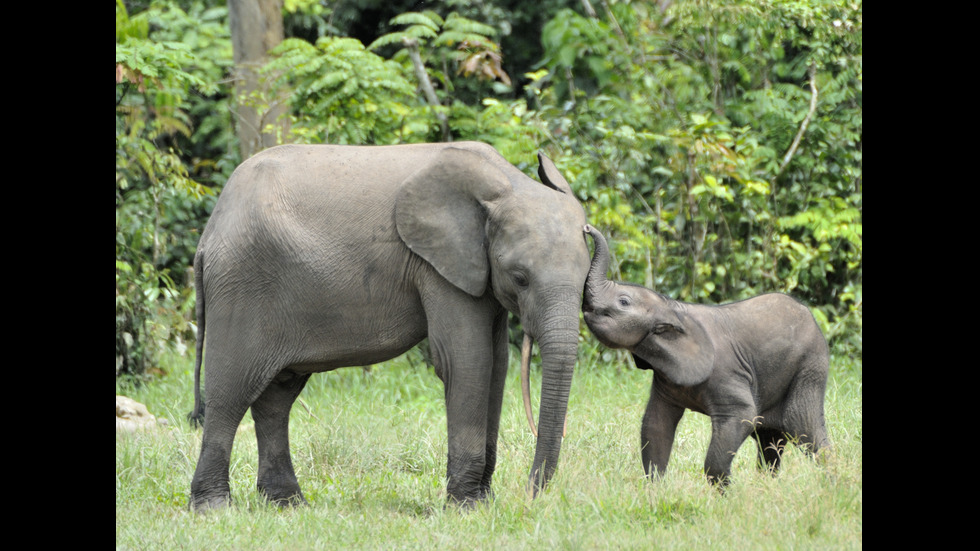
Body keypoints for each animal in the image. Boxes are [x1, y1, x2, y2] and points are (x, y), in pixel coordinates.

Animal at [189, 142, 592, 512]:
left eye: (587, 275)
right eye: (520, 278)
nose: (530, 495)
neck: (507, 184)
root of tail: (208, 236)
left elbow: (496, 365)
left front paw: (481, 502)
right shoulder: (437, 265)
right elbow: (466, 361)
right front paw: (465, 508)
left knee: (276, 398)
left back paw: (287, 504)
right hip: (242, 285)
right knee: (230, 393)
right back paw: (214, 508)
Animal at [584, 225, 832, 488]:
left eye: (623, 301)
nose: (587, 228)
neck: (673, 308)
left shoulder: (726, 374)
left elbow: (742, 416)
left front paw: (727, 494)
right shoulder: (666, 378)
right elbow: (656, 424)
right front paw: (655, 489)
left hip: (809, 368)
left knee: (806, 430)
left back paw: (833, 482)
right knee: (769, 441)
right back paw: (767, 487)